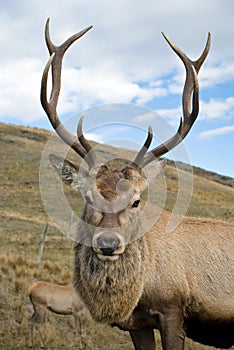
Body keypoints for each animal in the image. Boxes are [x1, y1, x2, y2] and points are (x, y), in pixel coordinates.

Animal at [40, 17, 234, 348]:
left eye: (136, 201)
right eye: (87, 197)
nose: (107, 244)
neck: (139, 292)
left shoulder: (173, 309)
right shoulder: (136, 323)